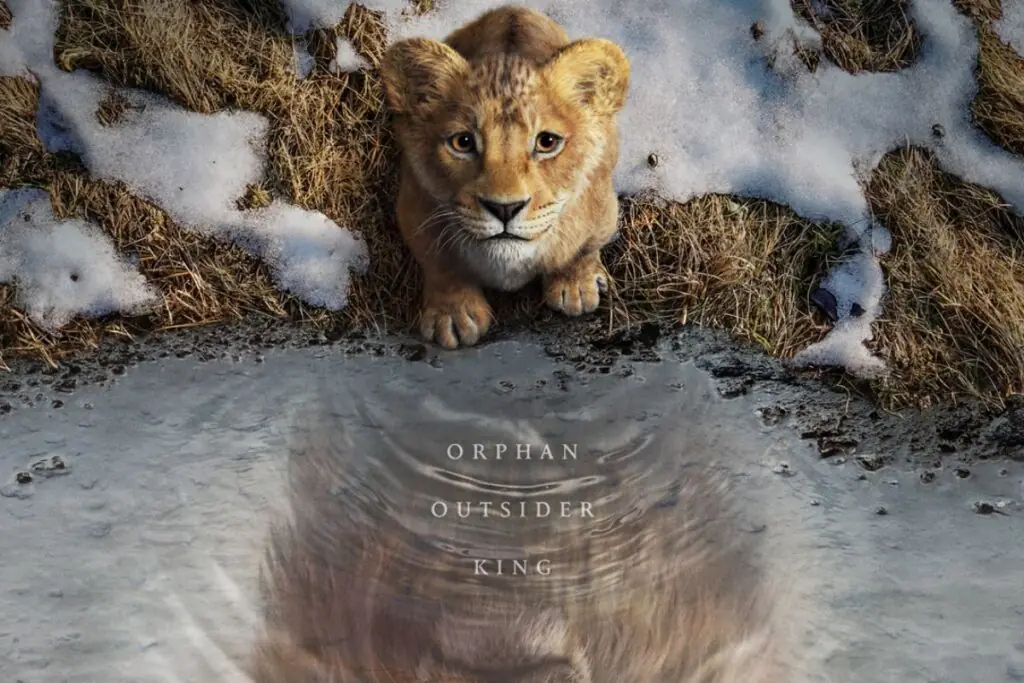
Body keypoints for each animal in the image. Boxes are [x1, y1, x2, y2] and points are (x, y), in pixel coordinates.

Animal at [379, 5, 631, 349]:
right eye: (463, 142)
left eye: (547, 142)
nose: (504, 208)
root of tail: (513, 8)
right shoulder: (414, 207)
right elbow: (441, 264)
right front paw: (453, 315)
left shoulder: (603, 207)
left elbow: (583, 249)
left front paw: (576, 286)